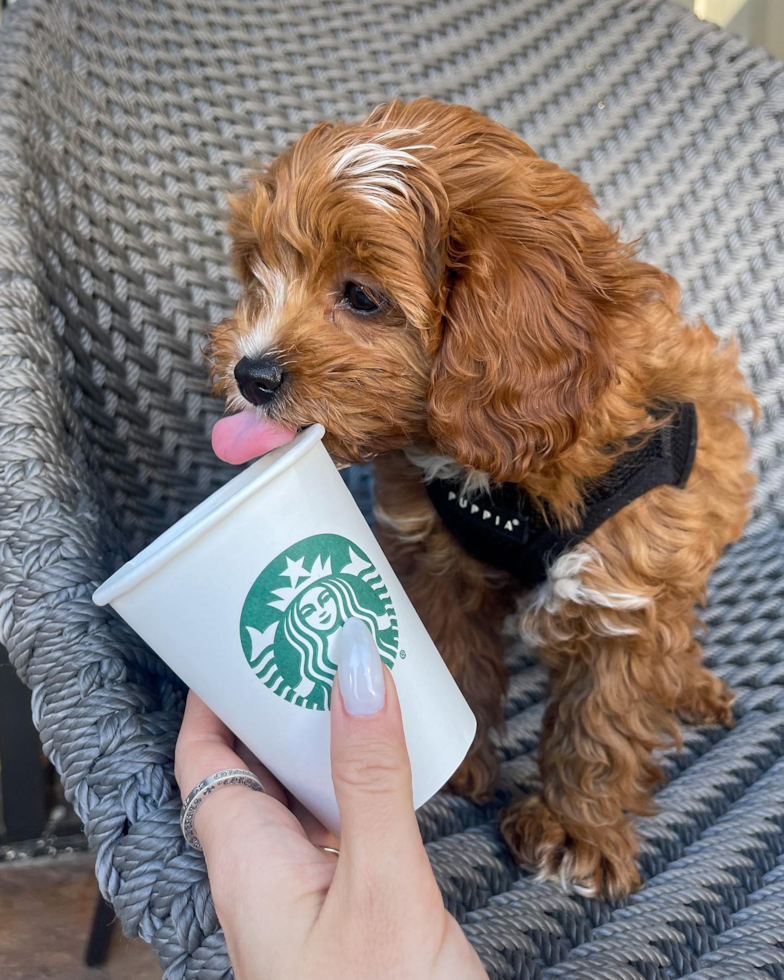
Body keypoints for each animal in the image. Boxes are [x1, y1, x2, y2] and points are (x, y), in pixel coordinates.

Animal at [207, 97, 752, 896]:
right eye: (257, 272)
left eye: (361, 296)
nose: (250, 373)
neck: (504, 473)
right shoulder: (436, 558)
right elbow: (457, 654)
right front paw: (462, 766)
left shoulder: (627, 581)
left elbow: (603, 716)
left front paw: (577, 829)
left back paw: (693, 686)